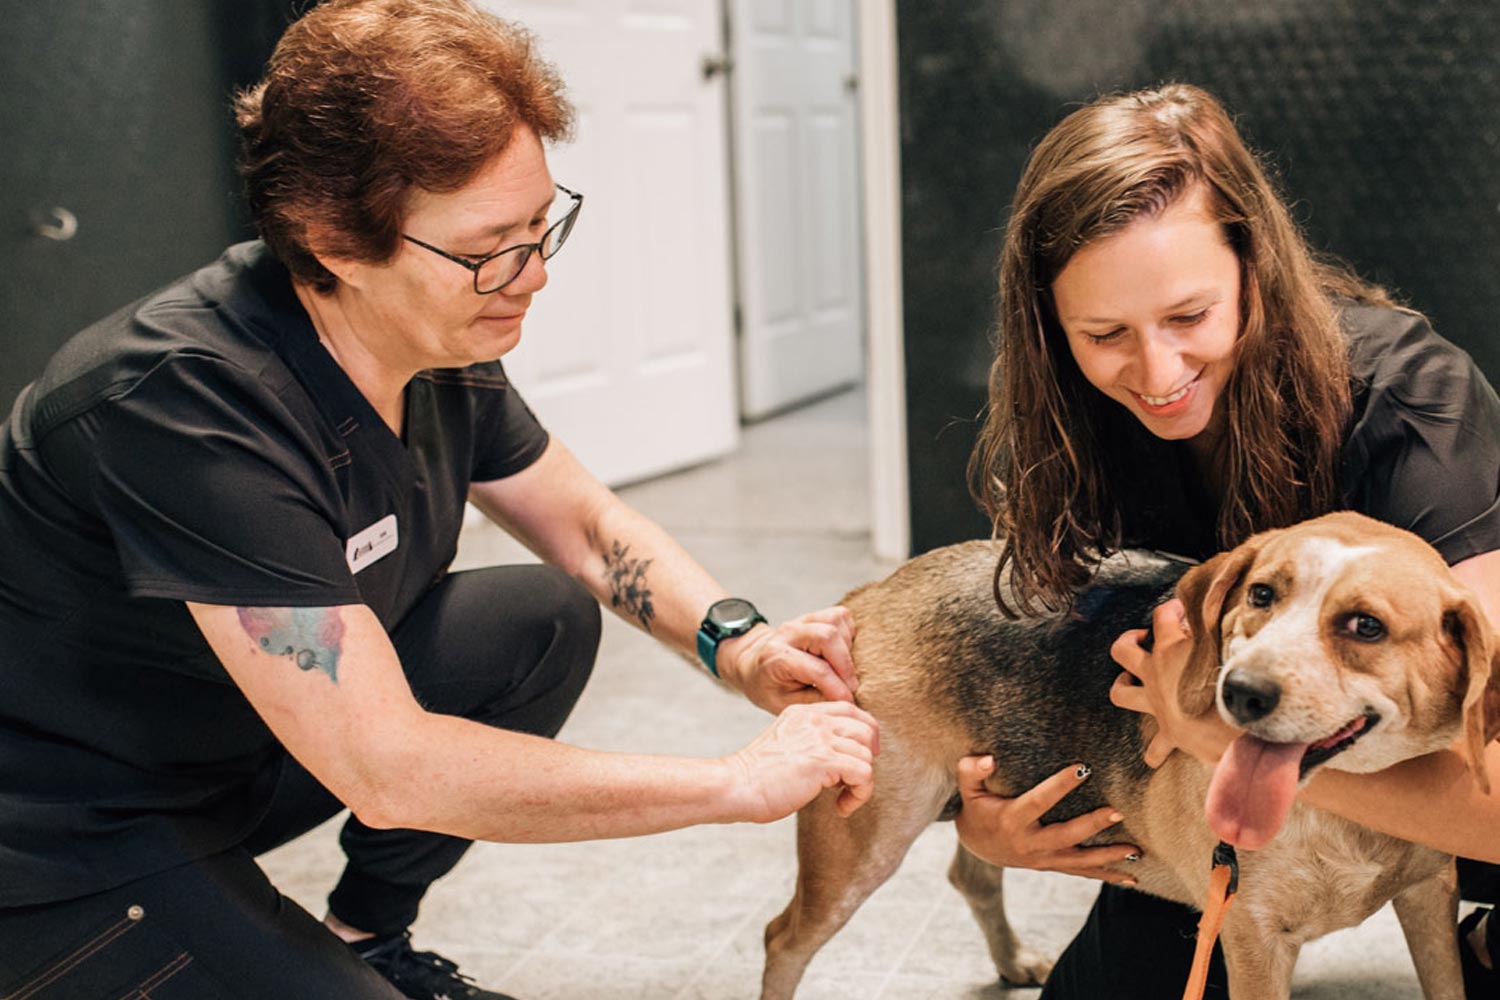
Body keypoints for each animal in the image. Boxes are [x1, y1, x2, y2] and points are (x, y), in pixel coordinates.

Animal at [762, 512, 1500, 995]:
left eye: (1365, 627)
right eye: (1262, 594)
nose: (1239, 692)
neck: (1346, 812)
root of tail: (872, 594)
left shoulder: (1431, 896)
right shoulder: (1253, 940)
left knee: (971, 873)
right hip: (863, 844)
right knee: (782, 940)